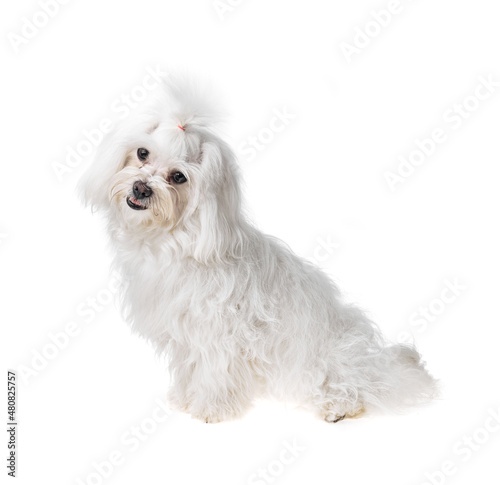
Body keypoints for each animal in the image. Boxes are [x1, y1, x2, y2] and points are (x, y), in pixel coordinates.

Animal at [79, 73, 438, 422]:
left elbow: (213, 371)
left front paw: (211, 408)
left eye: (179, 177)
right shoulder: (185, 335)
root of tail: (375, 360)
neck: (177, 241)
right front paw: (184, 398)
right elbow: (190, 367)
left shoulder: (218, 332)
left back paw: (339, 406)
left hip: (324, 362)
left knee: (355, 383)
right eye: (142, 153)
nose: (141, 188)